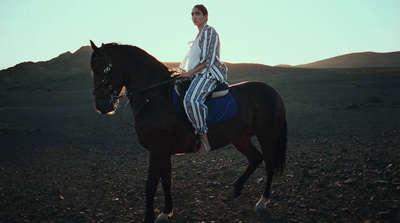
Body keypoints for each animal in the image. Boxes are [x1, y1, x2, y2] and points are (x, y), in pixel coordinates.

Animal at [89, 41, 286, 222]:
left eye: (98, 70)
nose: (101, 106)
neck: (155, 97)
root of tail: (273, 92)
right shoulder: (164, 151)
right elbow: (166, 181)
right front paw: (166, 211)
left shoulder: (157, 150)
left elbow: (151, 185)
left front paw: (150, 217)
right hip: (241, 138)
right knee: (255, 158)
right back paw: (237, 191)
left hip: (267, 136)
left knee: (269, 165)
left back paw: (262, 202)